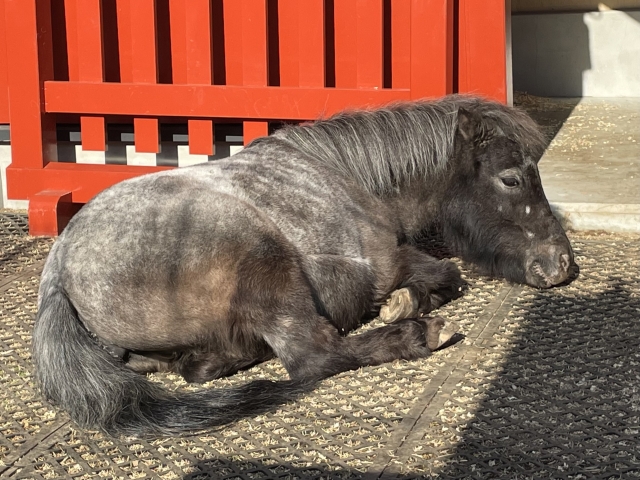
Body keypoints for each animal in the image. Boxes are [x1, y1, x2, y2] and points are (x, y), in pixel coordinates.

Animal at [32, 95, 574, 436]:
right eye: (510, 179)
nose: (562, 264)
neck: (348, 175)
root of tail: (61, 267)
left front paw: (404, 302)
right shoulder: (387, 260)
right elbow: (446, 276)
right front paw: (405, 307)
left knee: (198, 366)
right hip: (265, 262)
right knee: (314, 356)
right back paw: (417, 335)